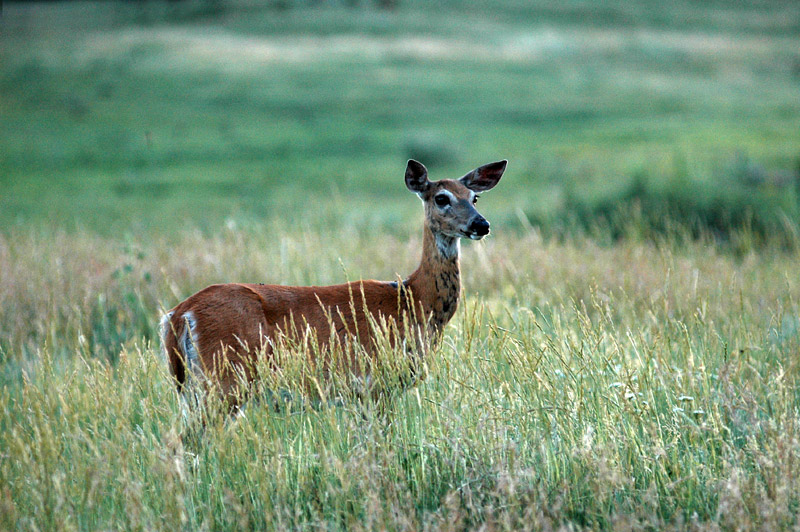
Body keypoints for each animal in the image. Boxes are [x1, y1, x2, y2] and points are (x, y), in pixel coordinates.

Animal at [159, 158, 504, 412]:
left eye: (474, 197)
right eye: (441, 198)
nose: (481, 224)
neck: (413, 300)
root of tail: (179, 314)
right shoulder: (374, 383)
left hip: (192, 386)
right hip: (225, 377)